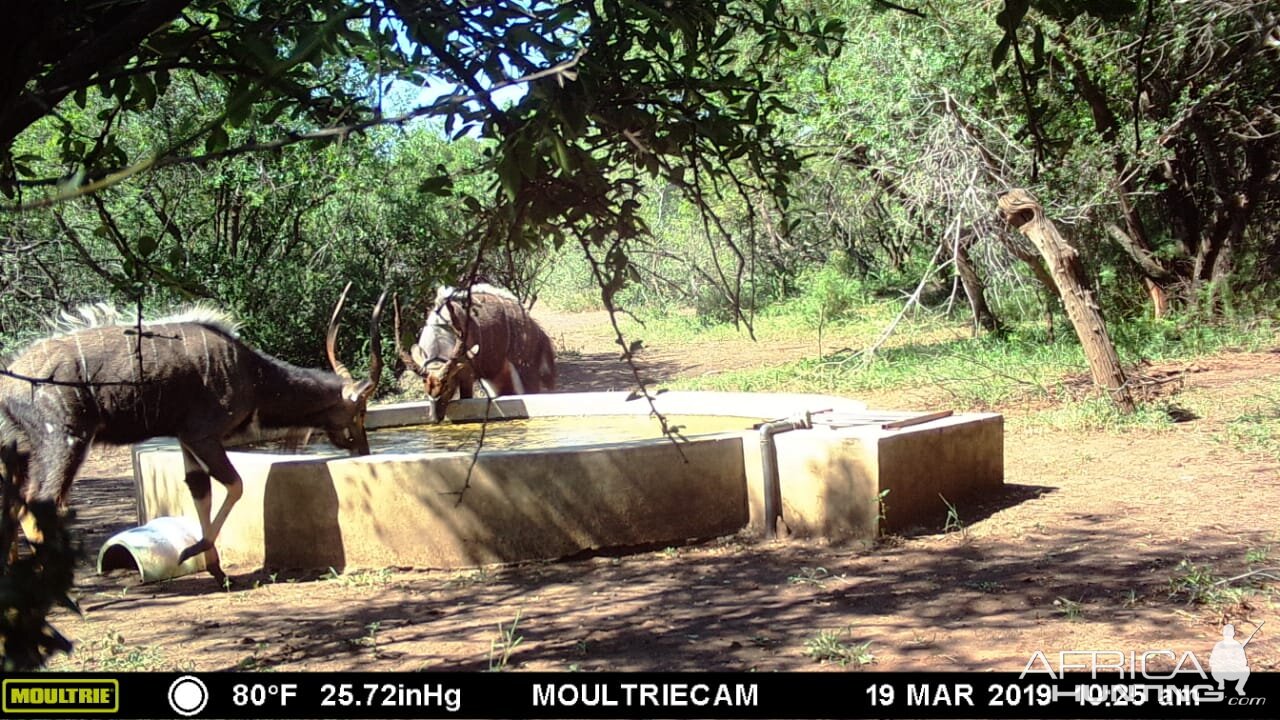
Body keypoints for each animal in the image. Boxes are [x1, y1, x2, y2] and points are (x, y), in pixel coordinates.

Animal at [1, 285, 384, 584]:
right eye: (360, 412)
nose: (363, 450)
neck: (253, 374)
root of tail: (10, 382)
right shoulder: (203, 434)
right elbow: (234, 484)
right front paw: (192, 551)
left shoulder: (185, 438)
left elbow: (200, 490)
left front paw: (217, 571)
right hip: (65, 440)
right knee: (38, 503)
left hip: (20, 451)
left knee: (14, 505)